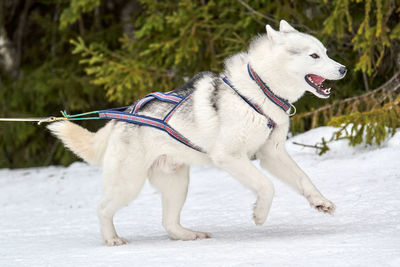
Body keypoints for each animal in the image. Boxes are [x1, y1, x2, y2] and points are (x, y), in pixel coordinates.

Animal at [47, 20, 346, 247]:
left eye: (325, 52)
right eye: (314, 56)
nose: (343, 68)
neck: (260, 90)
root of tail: (122, 117)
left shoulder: (271, 154)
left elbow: (303, 178)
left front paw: (321, 202)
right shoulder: (230, 157)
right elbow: (266, 186)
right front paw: (260, 215)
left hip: (177, 184)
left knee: (168, 223)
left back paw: (189, 235)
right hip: (128, 184)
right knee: (102, 208)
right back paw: (112, 239)